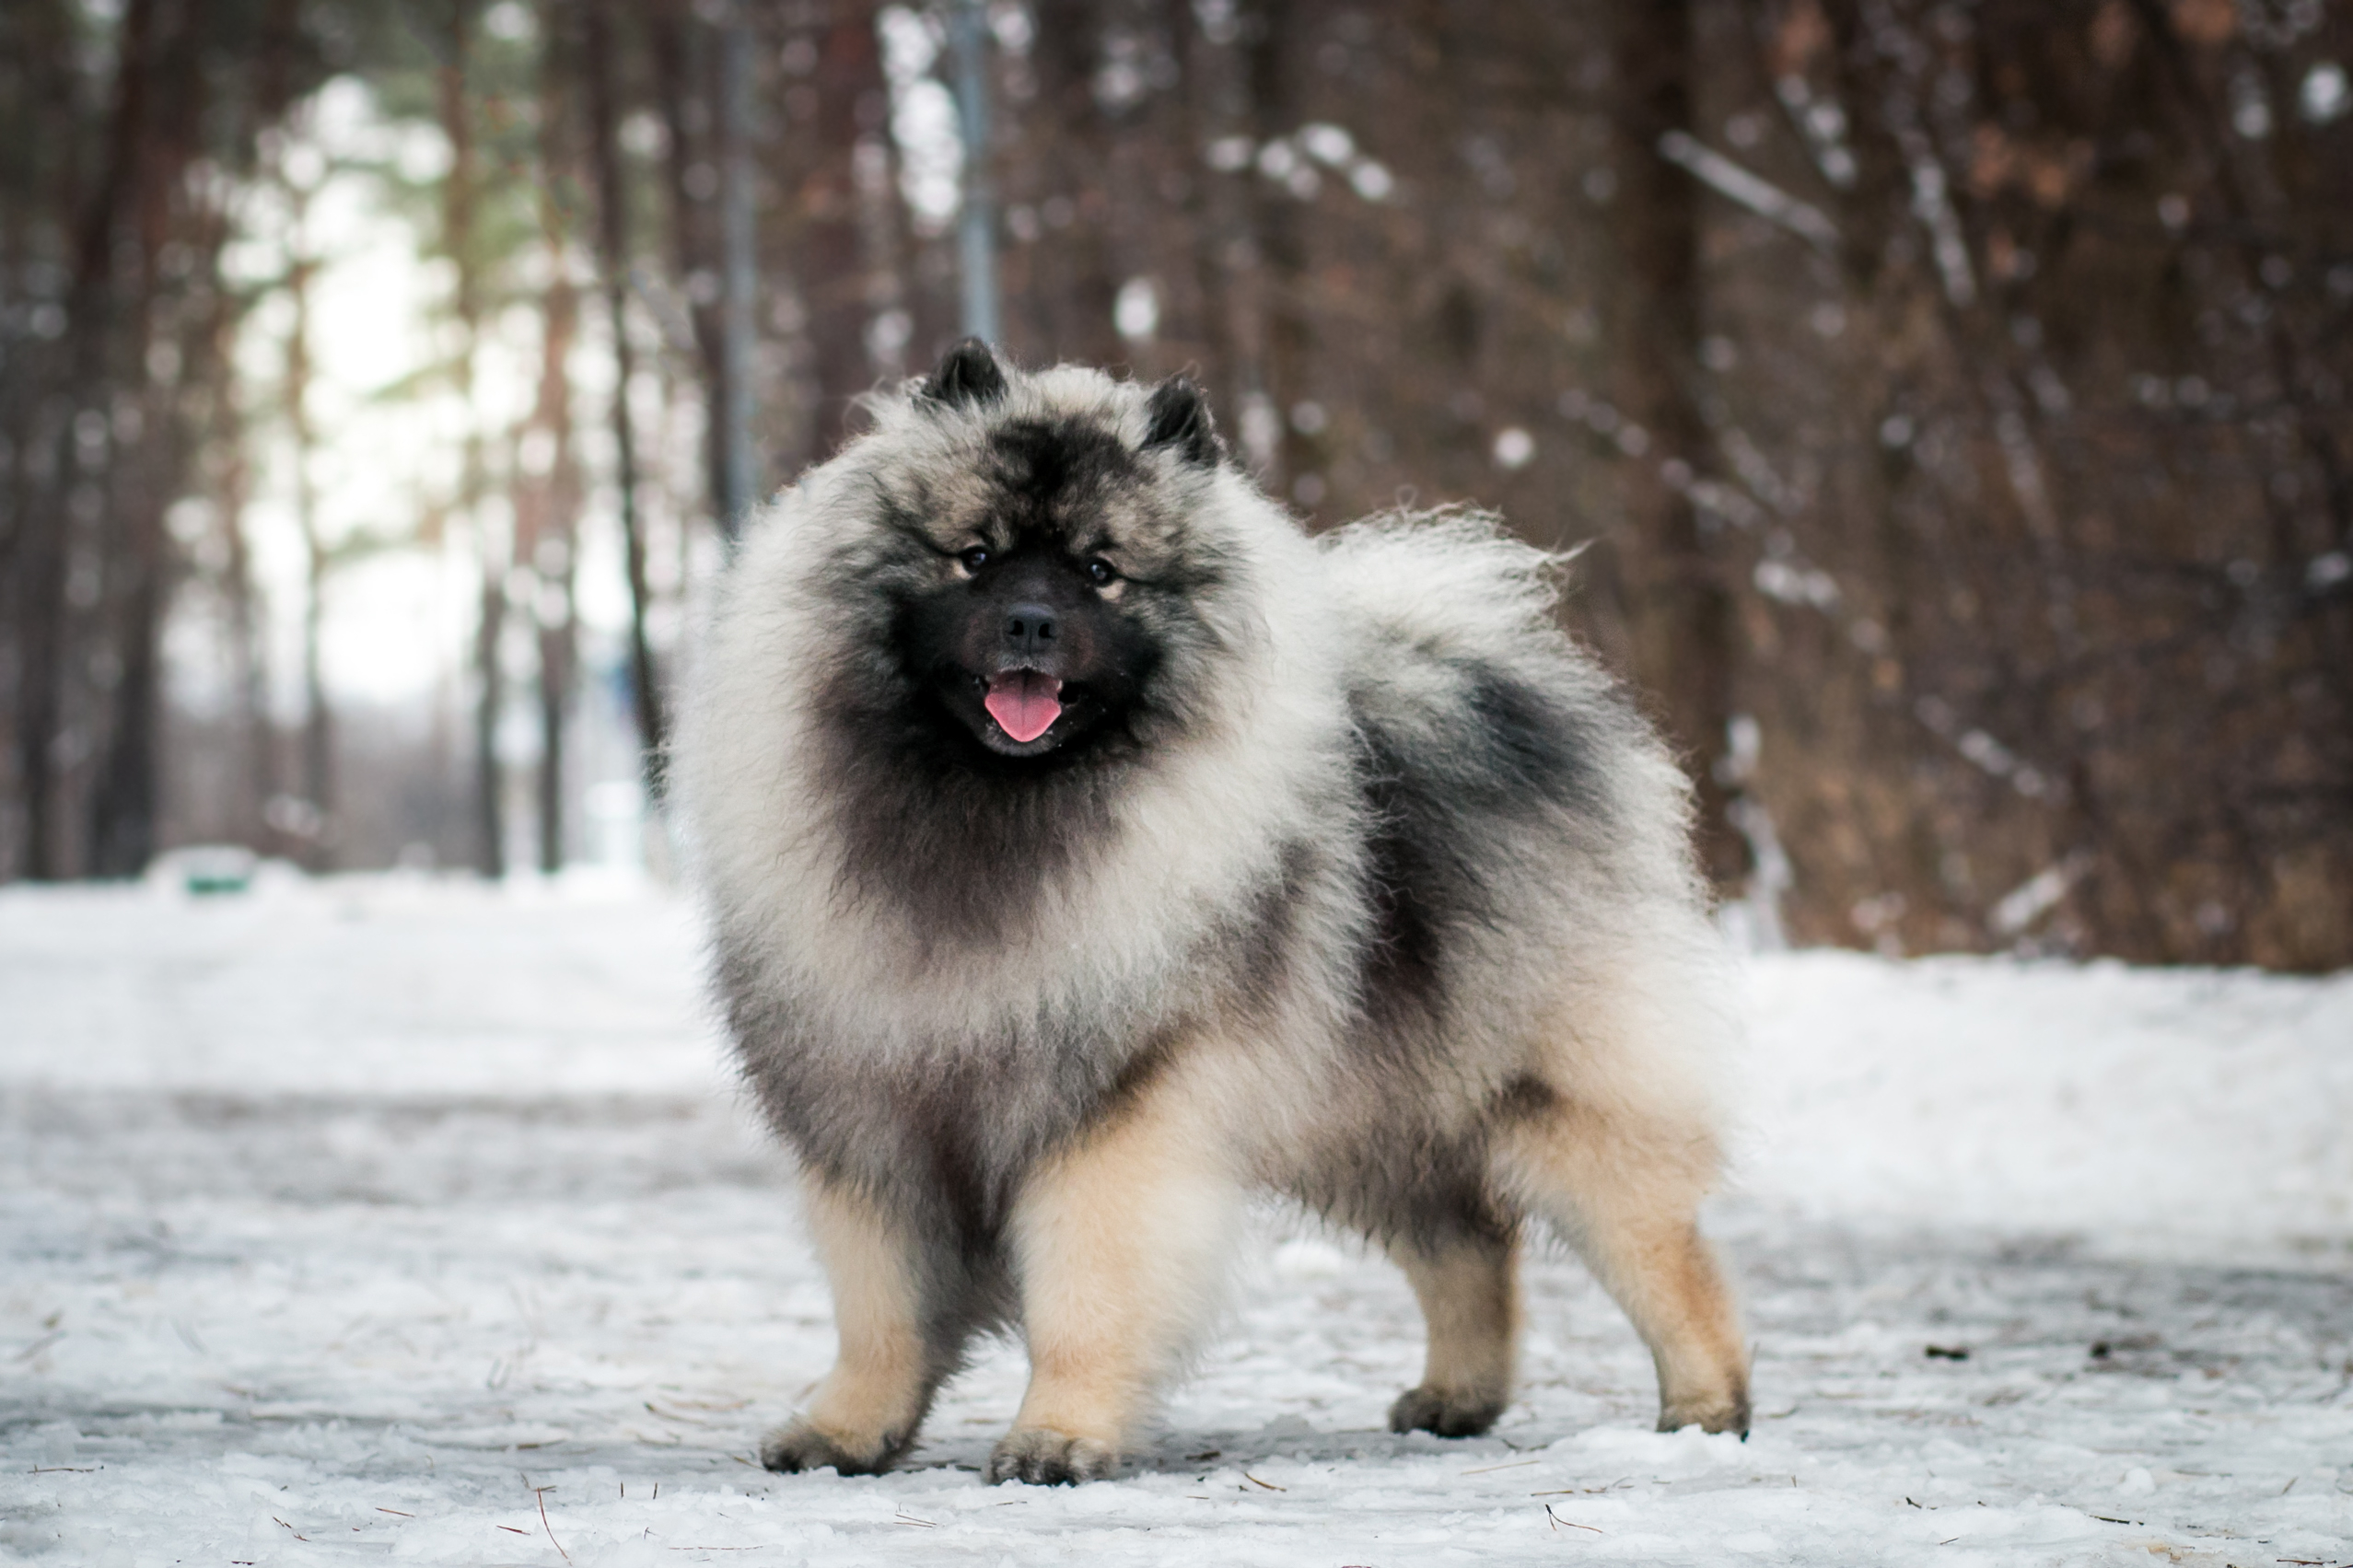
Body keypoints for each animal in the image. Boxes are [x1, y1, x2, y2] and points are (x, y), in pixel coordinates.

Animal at [677, 341, 1750, 1485]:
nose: (1029, 623)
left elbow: (1084, 1292)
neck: (989, 812)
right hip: (1380, 1108)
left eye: (1100, 570)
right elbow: (879, 1309)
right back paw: (1455, 1397)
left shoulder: (1116, 1113)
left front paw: (1058, 1435)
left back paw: (1704, 1408)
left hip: (1553, 1095)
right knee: (1465, 1242)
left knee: (1660, 1248)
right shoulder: (873, 1117)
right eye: (975, 555)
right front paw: (845, 1429)